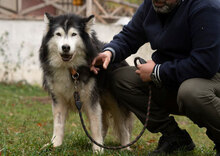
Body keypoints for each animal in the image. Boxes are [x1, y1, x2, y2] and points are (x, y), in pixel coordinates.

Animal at [39, 12, 133, 152]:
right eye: (58, 34)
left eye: (74, 34)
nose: (65, 47)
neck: (70, 69)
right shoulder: (58, 99)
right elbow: (58, 123)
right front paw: (55, 144)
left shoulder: (90, 100)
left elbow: (95, 125)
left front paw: (98, 149)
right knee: (105, 124)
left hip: (115, 103)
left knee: (122, 126)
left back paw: (125, 148)